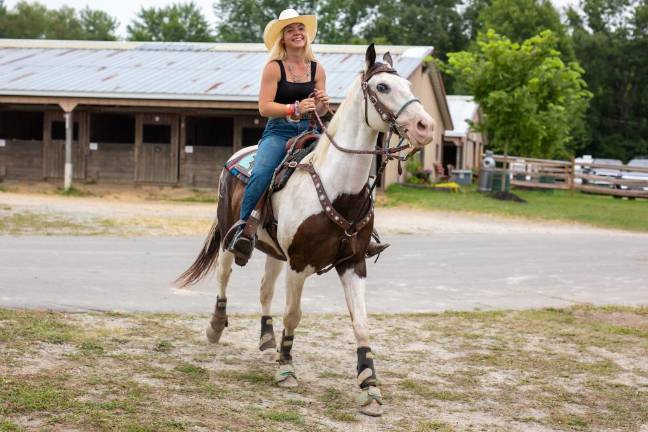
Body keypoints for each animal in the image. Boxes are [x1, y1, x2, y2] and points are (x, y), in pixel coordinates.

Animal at [176, 45, 436, 416]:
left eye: (408, 85)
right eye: (383, 87)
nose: (425, 126)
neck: (337, 188)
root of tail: (237, 157)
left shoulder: (353, 263)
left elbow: (360, 322)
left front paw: (369, 386)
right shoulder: (299, 265)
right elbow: (294, 315)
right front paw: (286, 369)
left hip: (274, 252)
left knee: (264, 291)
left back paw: (267, 342)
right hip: (229, 237)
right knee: (224, 278)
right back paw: (216, 327)